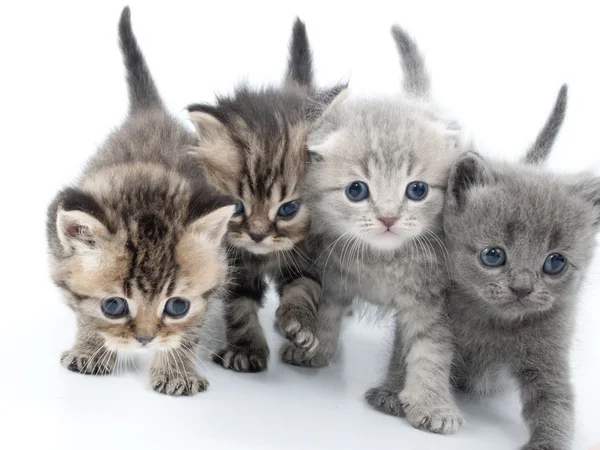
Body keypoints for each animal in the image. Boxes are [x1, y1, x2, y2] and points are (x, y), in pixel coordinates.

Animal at [47, 6, 234, 394]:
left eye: (176, 307)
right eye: (114, 306)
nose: (145, 339)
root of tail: (150, 111)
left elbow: (188, 331)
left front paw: (176, 372)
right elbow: (82, 308)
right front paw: (90, 349)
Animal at [185, 17, 344, 370]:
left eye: (288, 209)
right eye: (237, 207)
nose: (257, 235)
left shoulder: (309, 254)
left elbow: (303, 289)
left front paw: (300, 328)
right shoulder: (232, 263)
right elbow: (239, 307)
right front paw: (247, 349)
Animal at [282, 23, 464, 432]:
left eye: (417, 190)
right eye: (356, 190)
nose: (388, 218)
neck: (382, 263)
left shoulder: (431, 298)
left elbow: (430, 350)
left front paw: (433, 406)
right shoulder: (332, 274)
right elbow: (327, 313)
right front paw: (315, 349)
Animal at [442, 84, 596, 450]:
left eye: (555, 262)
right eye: (493, 256)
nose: (522, 288)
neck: (494, 323)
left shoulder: (549, 356)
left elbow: (555, 403)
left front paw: (548, 443)